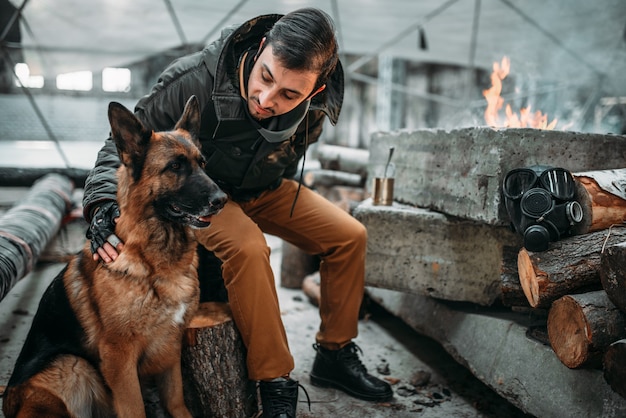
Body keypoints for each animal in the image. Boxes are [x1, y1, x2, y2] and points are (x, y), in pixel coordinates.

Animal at [2, 95, 227, 418]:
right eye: (175, 166)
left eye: (202, 163)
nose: (222, 200)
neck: (153, 262)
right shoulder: (119, 359)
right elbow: (135, 410)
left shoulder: (170, 347)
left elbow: (176, 401)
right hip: (74, 366)